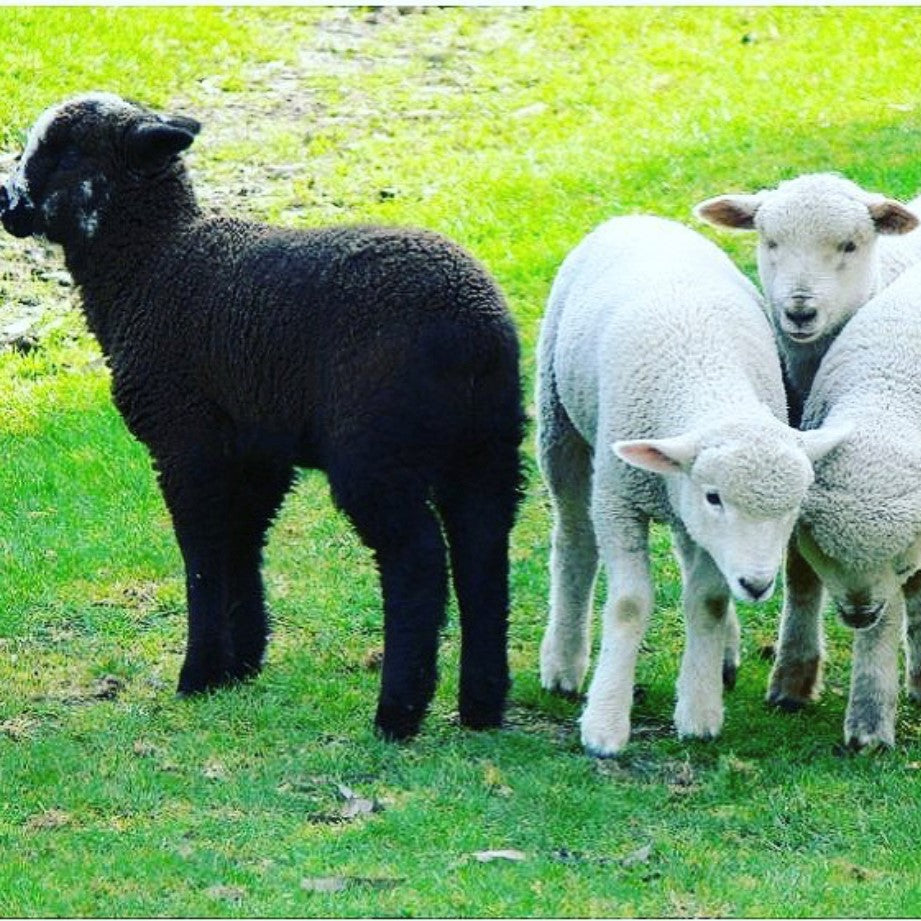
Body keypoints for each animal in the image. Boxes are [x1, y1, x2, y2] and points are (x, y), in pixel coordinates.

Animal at [0, 92, 525, 741]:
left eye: (63, 150)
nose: (5, 204)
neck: (150, 267)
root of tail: (474, 332)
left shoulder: (185, 438)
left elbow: (201, 552)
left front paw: (199, 675)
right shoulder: (256, 451)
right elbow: (242, 543)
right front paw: (242, 661)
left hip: (377, 451)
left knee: (418, 560)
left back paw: (397, 713)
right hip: (488, 449)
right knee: (484, 551)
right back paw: (482, 706)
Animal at [536, 213, 846, 756]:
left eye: (793, 508)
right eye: (715, 496)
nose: (758, 584)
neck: (705, 378)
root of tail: (639, 217)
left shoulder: (696, 515)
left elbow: (708, 600)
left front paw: (699, 712)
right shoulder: (618, 501)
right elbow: (629, 604)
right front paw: (605, 724)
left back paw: (723, 656)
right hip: (559, 421)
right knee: (574, 539)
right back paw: (564, 663)